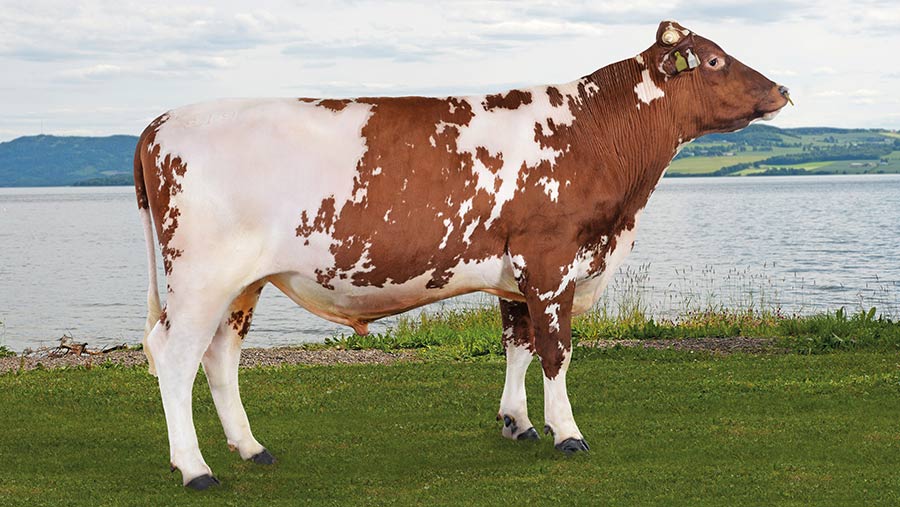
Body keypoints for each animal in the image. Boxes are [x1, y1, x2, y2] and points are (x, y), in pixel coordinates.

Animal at [134, 21, 790, 489]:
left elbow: (518, 345)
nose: (783, 88)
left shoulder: (517, 272)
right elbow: (557, 351)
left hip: (242, 281)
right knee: (173, 354)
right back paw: (194, 468)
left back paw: (251, 448)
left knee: (219, 355)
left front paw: (518, 422)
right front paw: (567, 432)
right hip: (200, 274)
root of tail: (163, 120)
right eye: (714, 60)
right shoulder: (551, 259)